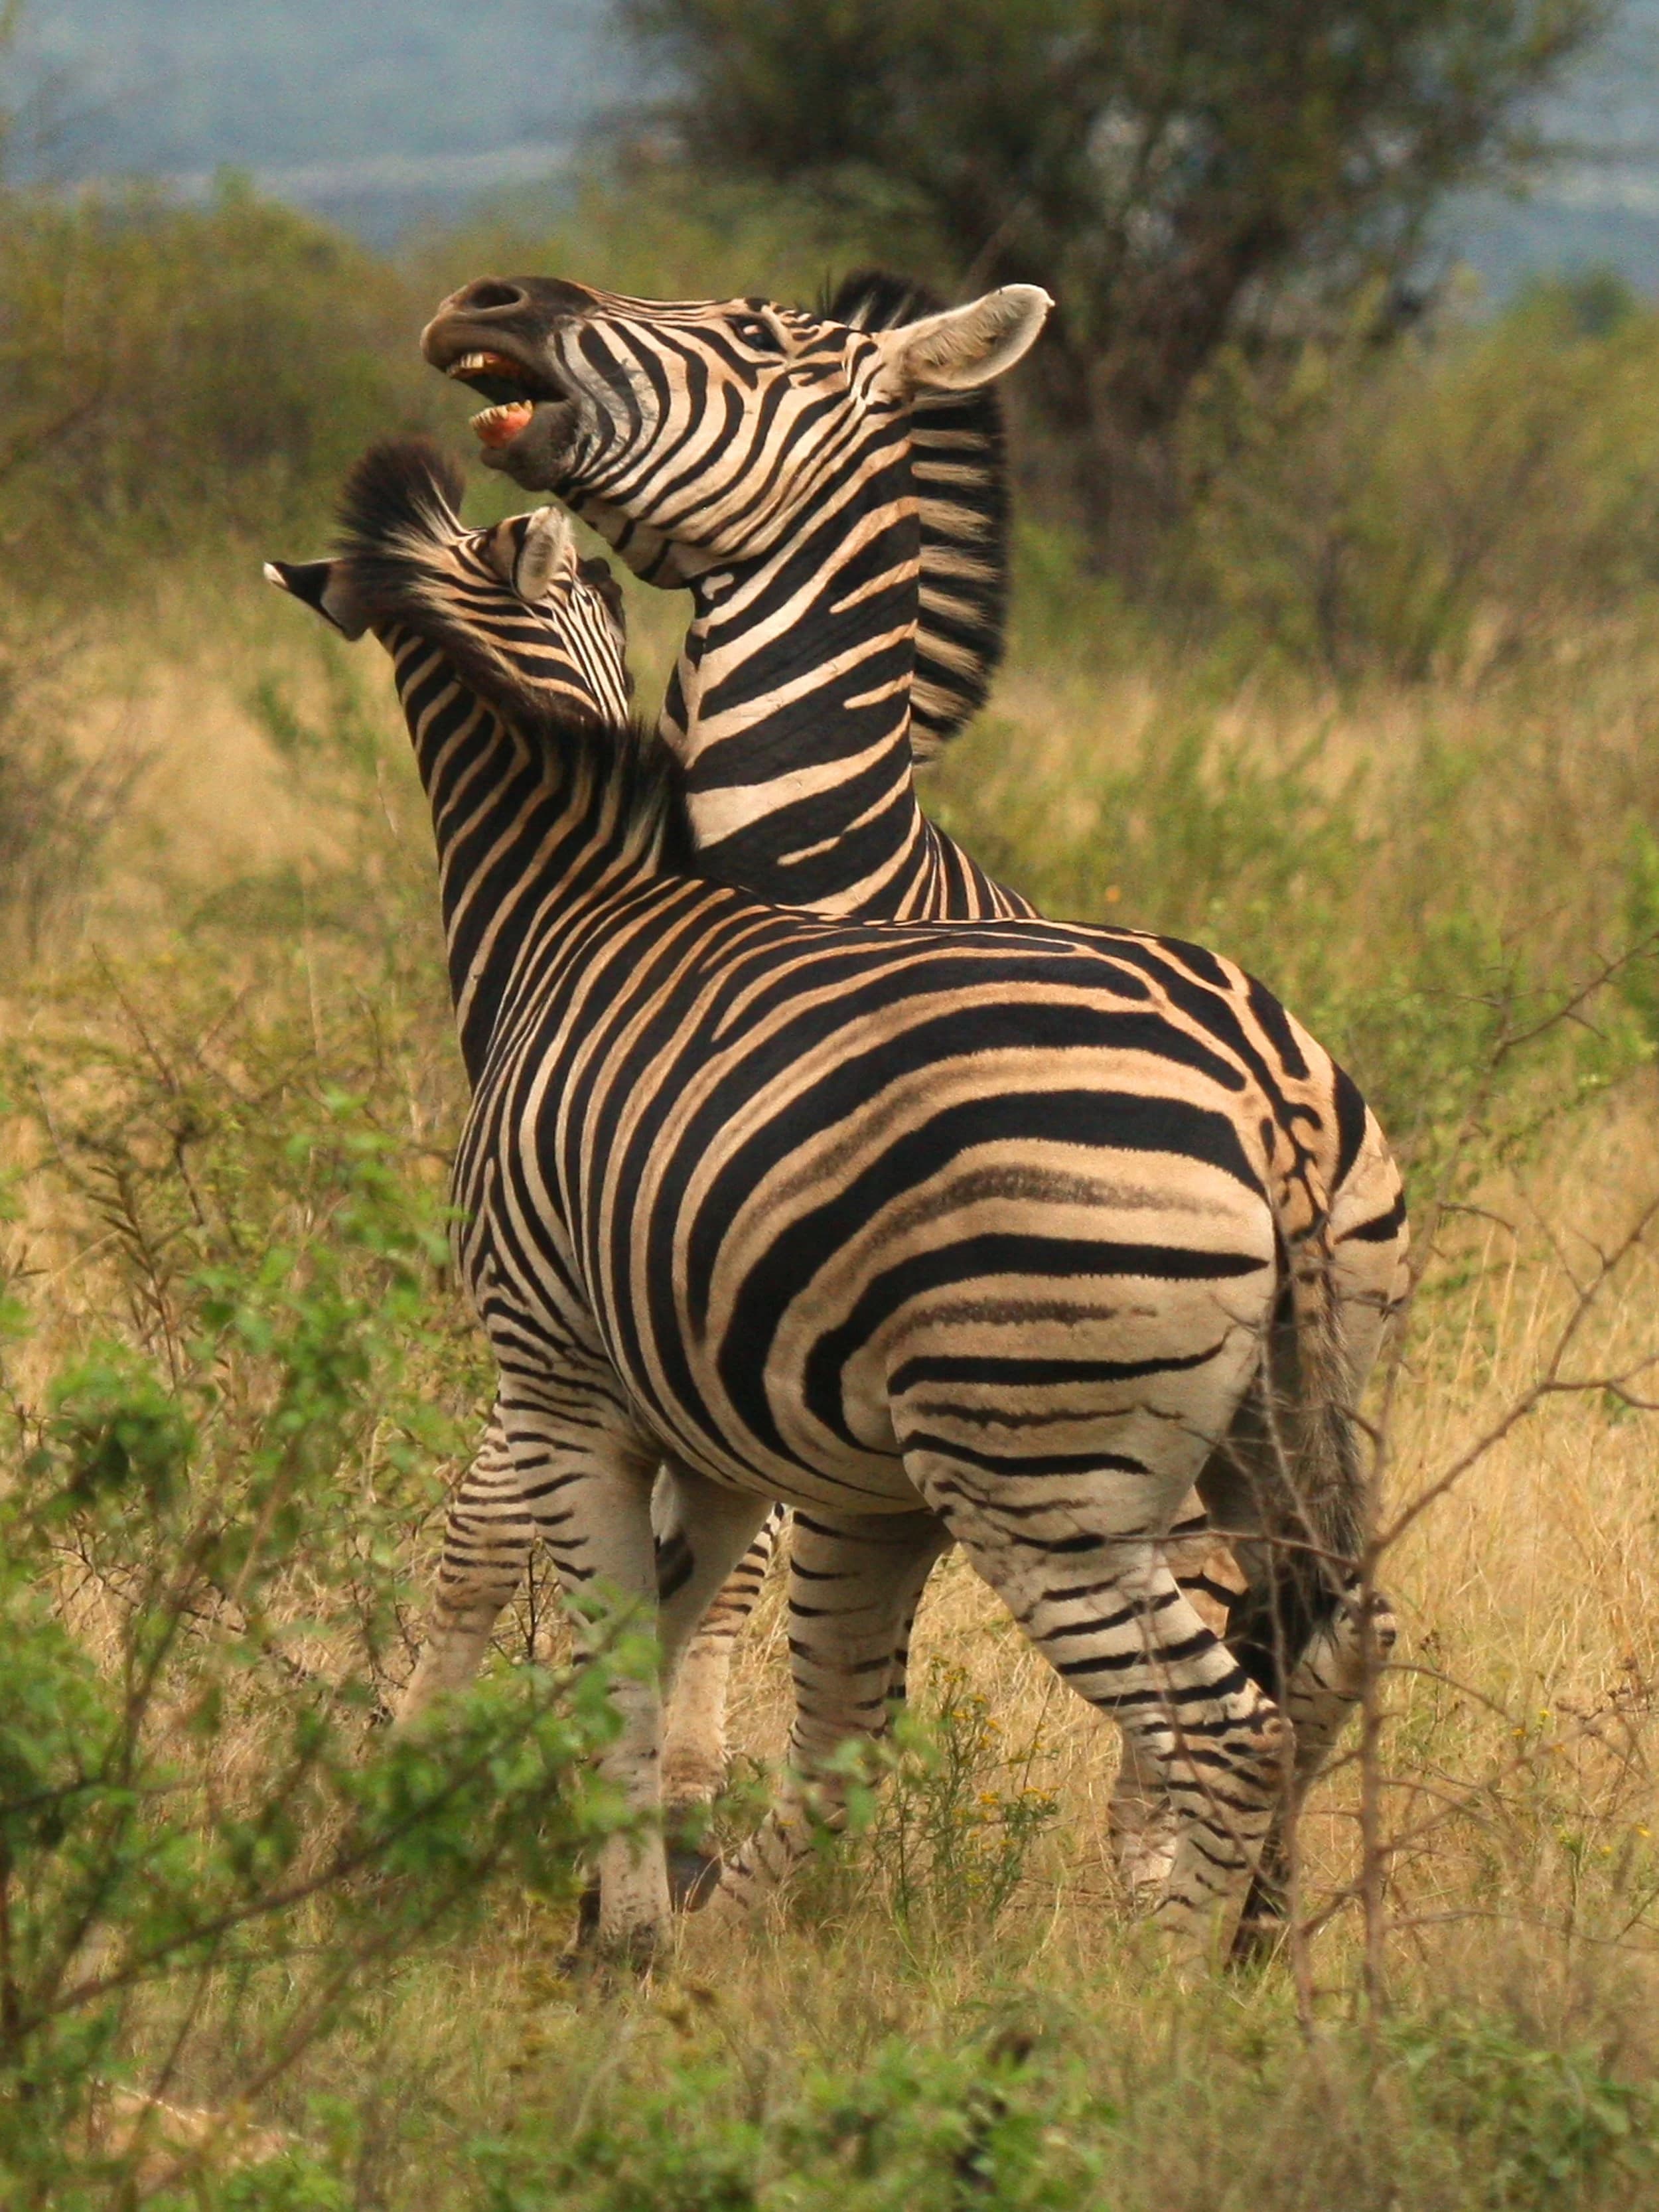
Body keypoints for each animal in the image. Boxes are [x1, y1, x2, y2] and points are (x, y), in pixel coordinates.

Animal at [273, 433, 1387, 1966]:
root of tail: (1263, 1092)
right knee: (1325, 1651)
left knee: (1223, 1725)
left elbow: (559, 1609)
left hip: (1045, 1477)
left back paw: (1147, 1986)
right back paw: (1235, 1946)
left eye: (608, 596)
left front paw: (572, 1900)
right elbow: (667, 1627)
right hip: (1287, 1414)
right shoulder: (708, 1419)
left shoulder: (555, 1370)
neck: (571, 911)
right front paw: (628, 1892)